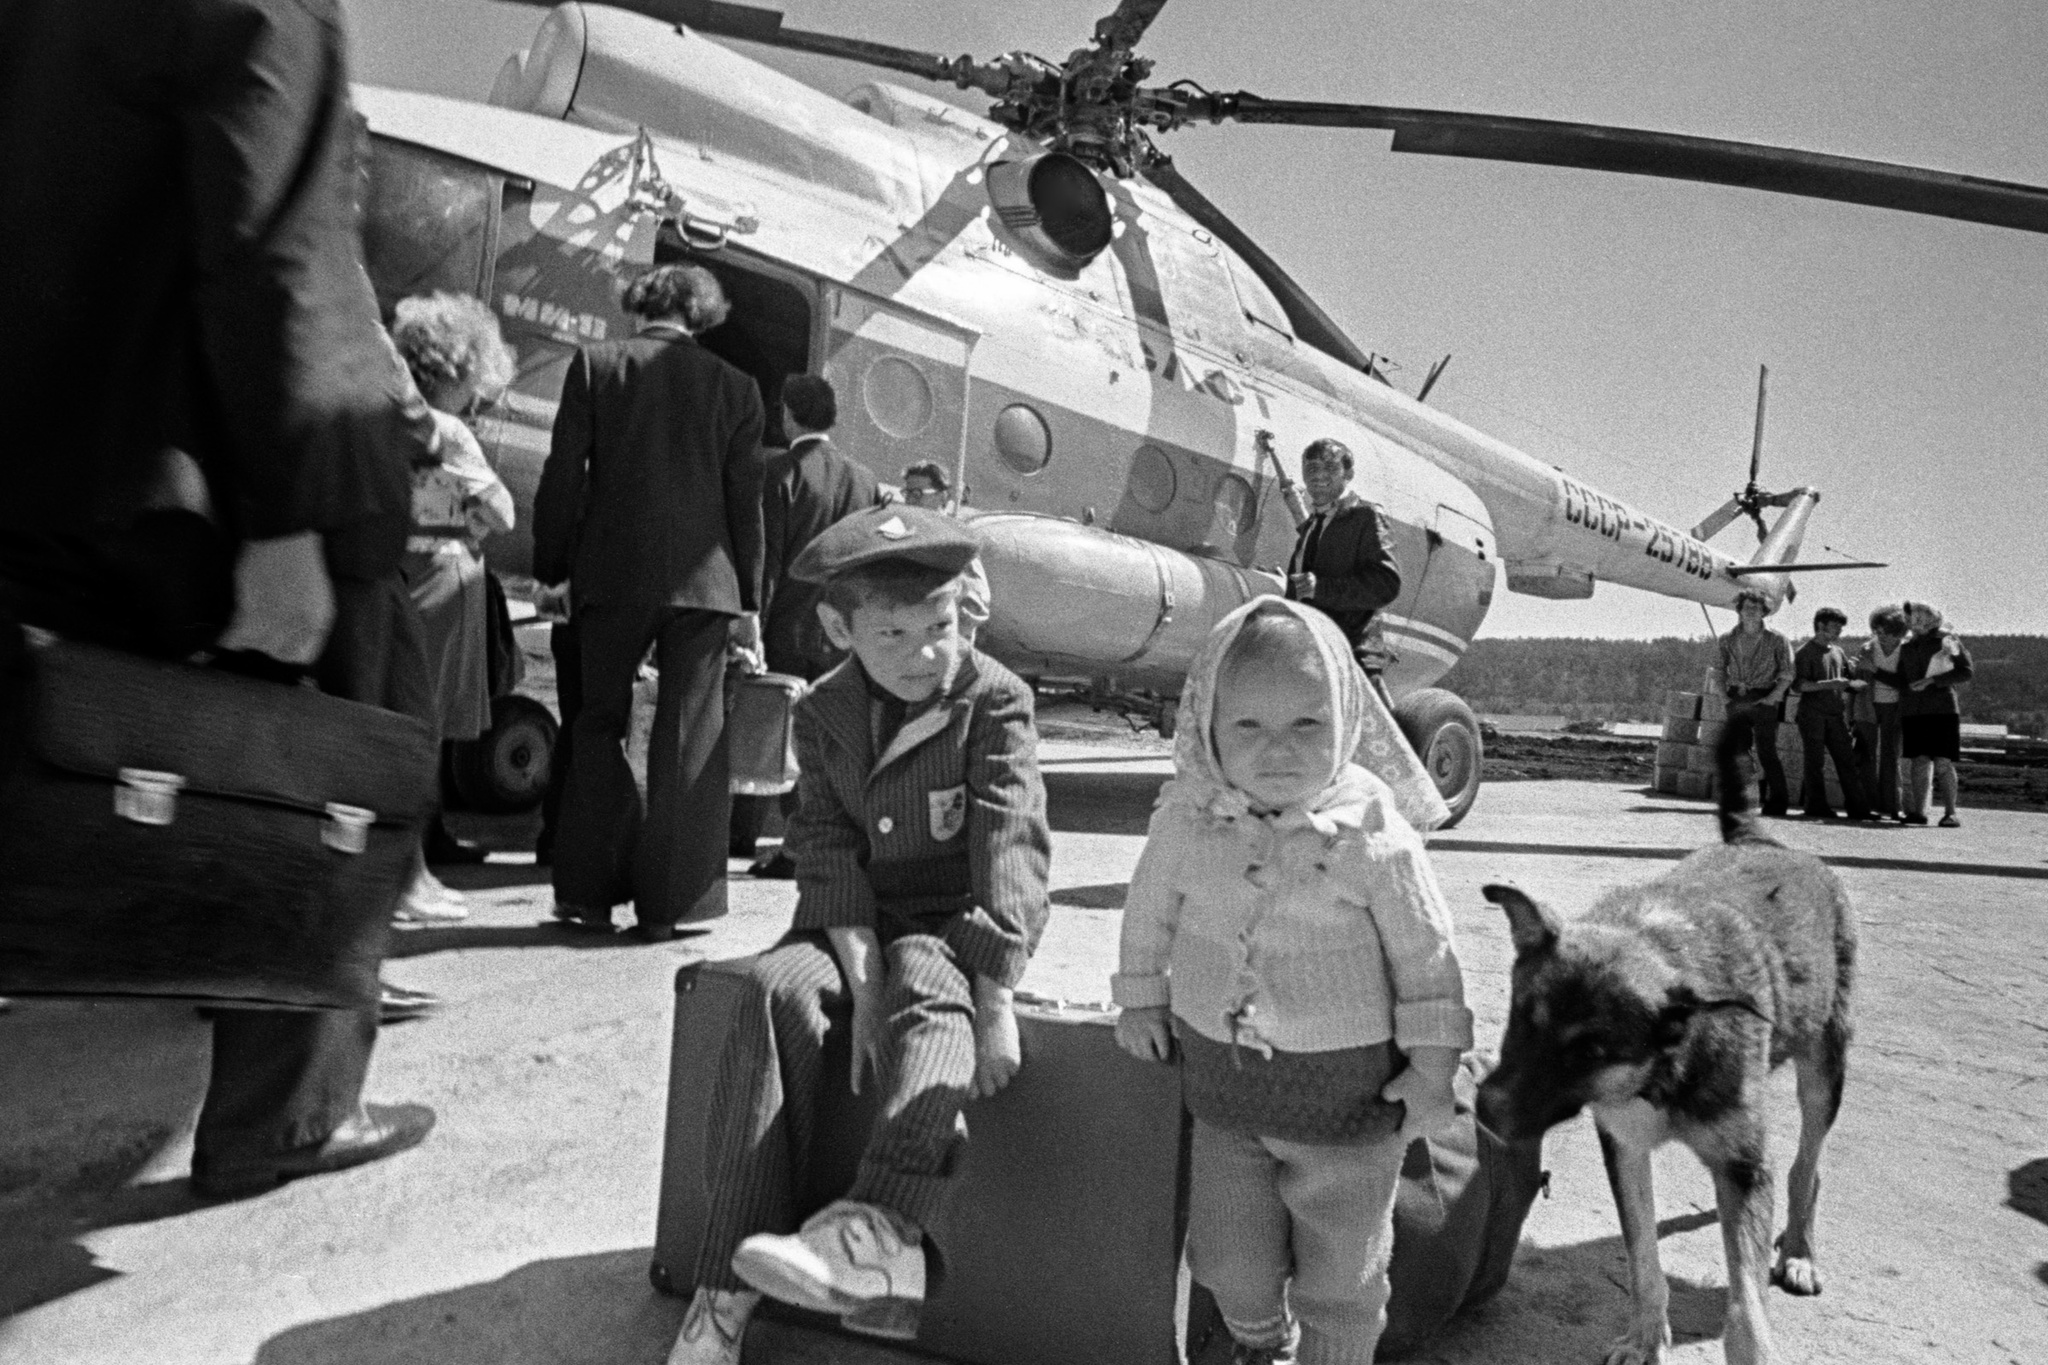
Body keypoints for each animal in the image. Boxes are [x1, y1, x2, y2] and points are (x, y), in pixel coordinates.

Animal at [1474, 802, 1859, 1365]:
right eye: (1522, 1018)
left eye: (1590, 1053)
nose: (1484, 1110)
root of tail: (1761, 842)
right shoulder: (1626, 1147)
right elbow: (1642, 1257)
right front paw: (1644, 1338)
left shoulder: (1742, 1167)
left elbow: (1747, 1306)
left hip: (1823, 1072)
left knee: (1806, 1166)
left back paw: (1799, 1253)